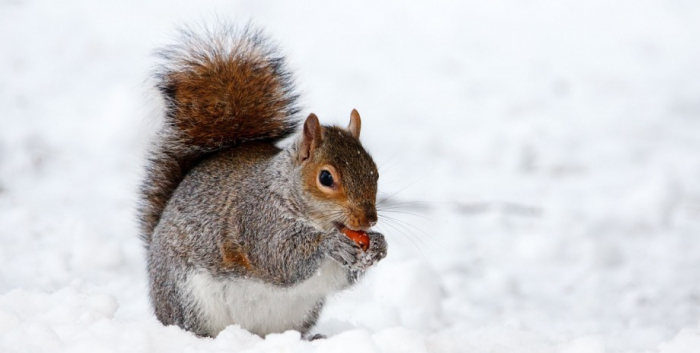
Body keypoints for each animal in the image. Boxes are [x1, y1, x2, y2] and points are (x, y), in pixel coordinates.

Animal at [137, 24, 388, 338]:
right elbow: (280, 257)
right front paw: (331, 244)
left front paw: (378, 245)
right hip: (188, 299)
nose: (369, 220)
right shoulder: (258, 220)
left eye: (375, 171)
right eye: (326, 177)